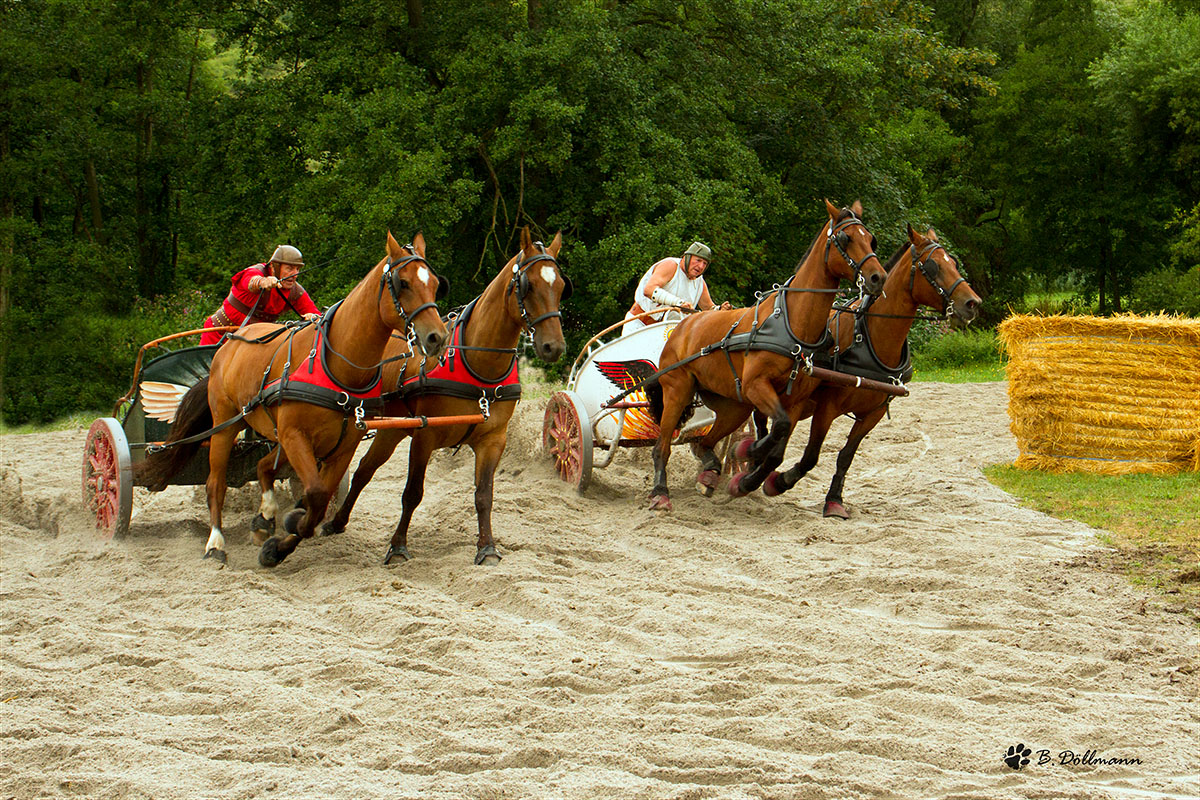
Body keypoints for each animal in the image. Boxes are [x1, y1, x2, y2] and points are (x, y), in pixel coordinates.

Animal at [139, 232, 451, 568]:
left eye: (435, 283)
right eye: (402, 283)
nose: (438, 337)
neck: (336, 364)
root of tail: (226, 344)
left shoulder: (343, 445)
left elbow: (321, 497)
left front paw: (277, 542)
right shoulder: (294, 435)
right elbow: (315, 494)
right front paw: (285, 535)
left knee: (263, 466)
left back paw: (263, 519)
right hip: (226, 423)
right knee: (215, 484)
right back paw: (215, 543)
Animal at [321, 225, 568, 563]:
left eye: (561, 285)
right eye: (527, 286)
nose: (553, 346)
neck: (476, 364)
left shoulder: (493, 440)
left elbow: (484, 495)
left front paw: (487, 547)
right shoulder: (424, 436)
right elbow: (412, 493)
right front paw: (398, 546)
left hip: (390, 430)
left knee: (363, 471)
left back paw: (338, 521)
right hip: (388, 429)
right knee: (362, 471)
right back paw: (334, 521)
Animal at [648, 203, 892, 510]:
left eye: (871, 239)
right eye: (845, 238)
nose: (878, 277)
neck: (792, 324)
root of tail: (683, 326)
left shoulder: (794, 400)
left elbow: (778, 442)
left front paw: (748, 475)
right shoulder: (757, 386)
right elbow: (777, 431)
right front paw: (748, 452)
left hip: (733, 406)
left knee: (704, 443)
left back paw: (711, 471)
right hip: (677, 390)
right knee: (662, 446)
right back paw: (661, 492)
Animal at [763, 221, 979, 515]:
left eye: (954, 263)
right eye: (934, 266)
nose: (973, 303)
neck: (871, 338)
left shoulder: (873, 414)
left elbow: (846, 456)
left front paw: (835, 500)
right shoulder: (827, 406)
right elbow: (811, 455)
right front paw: (779, 481)